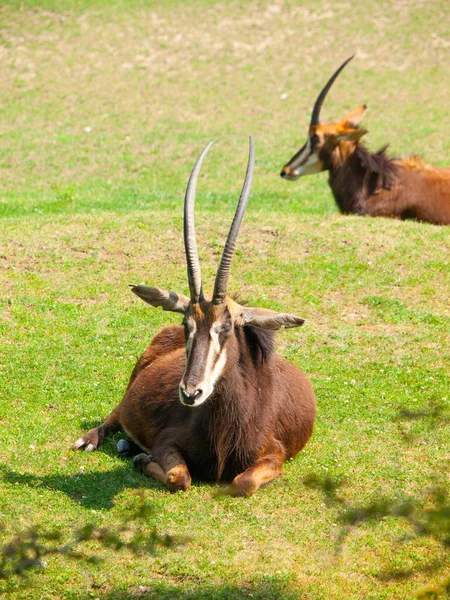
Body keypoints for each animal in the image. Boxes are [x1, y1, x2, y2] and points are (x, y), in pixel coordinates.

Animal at [72, 139, 314, 496]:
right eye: (187, 325)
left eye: (225, 328)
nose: (190, 393)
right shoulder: (167, 442)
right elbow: (180, 477)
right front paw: (142, 459)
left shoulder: (275, 455)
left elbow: (242, 482)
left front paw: (139, 457)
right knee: (115, 414)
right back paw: (96, 441)